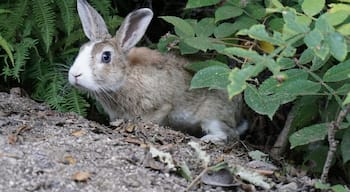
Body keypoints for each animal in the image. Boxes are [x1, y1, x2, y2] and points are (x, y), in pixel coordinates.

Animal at [67, 0, 243, 142]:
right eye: (81, 50)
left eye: (106, 57)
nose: (75, 74)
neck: (126, 76)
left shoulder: (160, 106)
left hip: (212, 117)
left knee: (229, 134)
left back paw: (209, 139)